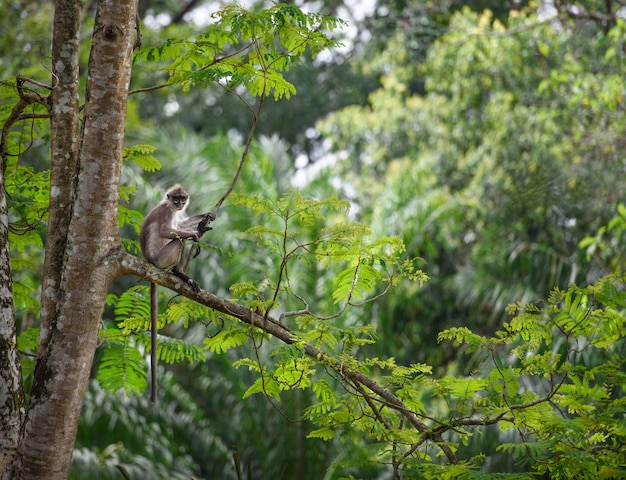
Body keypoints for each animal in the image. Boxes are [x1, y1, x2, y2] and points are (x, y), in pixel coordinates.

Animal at [138, 186, 213, 404]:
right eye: (176, 199)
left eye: (182, 200)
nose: (179, 205)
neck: (169, 206)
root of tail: (149, 260)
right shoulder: (166, 211)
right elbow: (167, 231)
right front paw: (196, 233)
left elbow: (180, 223)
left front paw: (205, 216)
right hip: (162, 259)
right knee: (179, 239)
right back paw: (179, 272)